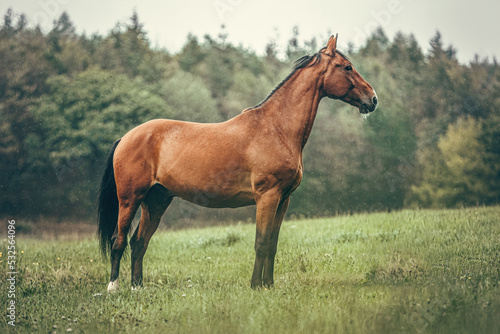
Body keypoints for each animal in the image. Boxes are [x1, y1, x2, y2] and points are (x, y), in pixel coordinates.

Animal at [97, 33, 376, 290]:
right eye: (347, 67)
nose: (372, 99)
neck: (276, 128)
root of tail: (127, 137)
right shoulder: (267, 196)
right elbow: (261, 242)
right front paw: (256, 286)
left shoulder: (283, 200)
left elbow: (272, 244)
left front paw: (268, 285)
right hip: (130, 199)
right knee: (119, 240)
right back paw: (113, 287)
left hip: (156, 201)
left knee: (139, 242)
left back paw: (137, 287)